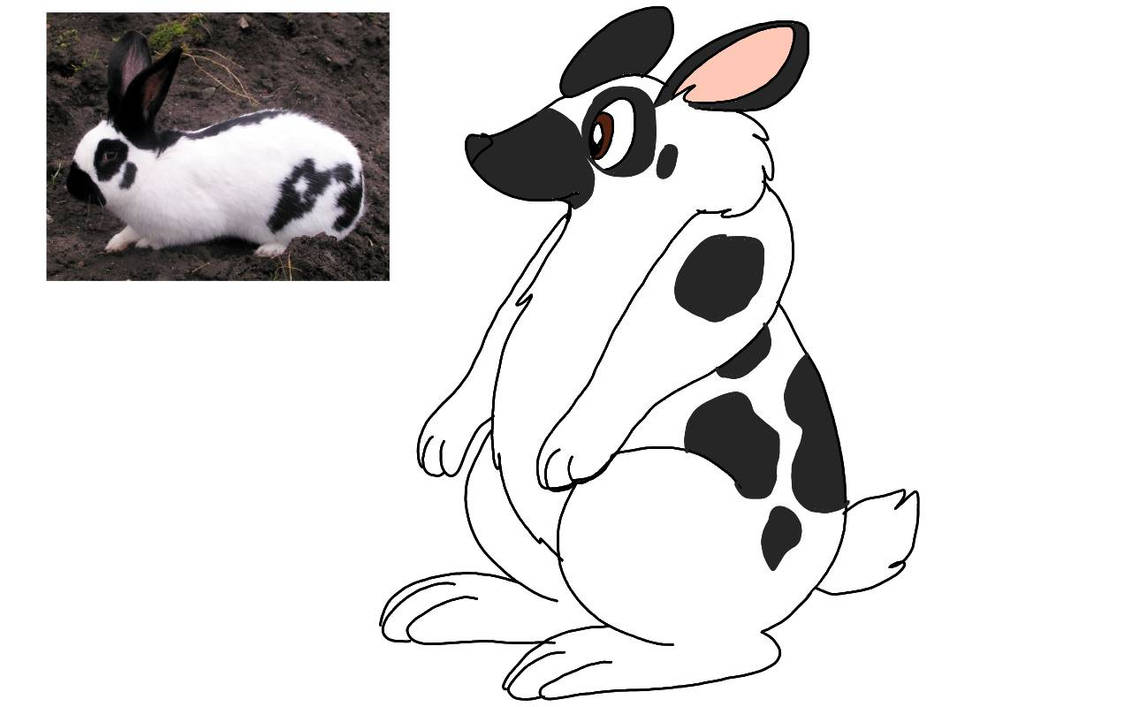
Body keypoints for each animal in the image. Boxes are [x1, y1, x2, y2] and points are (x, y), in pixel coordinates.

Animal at [64, 30, 365, 257]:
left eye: (109, 155)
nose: (71, 187)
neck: (151, 168)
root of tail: (359, 184)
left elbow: (160, 239)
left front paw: (145, 244)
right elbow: (128, 232)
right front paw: (114, 244)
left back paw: (268, 251)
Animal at [381, 7, 920, 700]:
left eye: (605, 131)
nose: (479, 143)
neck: (609, 233)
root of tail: (822, 567)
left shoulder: (724, 276)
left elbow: (641, 358)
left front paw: (565, 454)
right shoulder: (535, 271)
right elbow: (497, 334)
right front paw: (441, 441)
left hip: (623, 513)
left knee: (739, 649)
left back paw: (574, 666)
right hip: (497, 497)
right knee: (563, 598)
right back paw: (453, 607)